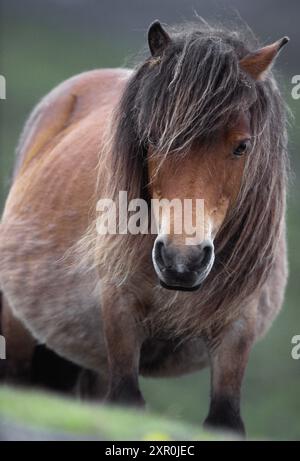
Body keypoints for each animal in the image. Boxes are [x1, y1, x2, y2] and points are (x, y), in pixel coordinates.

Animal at [0, 18, 290, 434]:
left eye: (242, 146)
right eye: (153, 137)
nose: (181, 261)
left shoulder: (238, 326)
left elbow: (224, 418)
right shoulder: (120, 315)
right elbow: (127, 400)